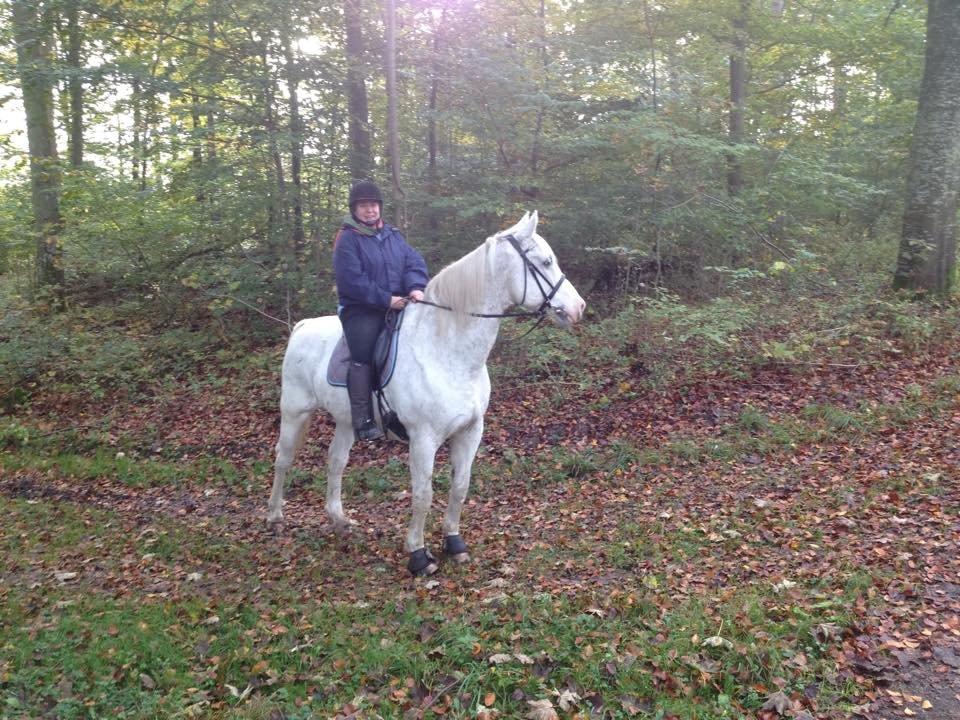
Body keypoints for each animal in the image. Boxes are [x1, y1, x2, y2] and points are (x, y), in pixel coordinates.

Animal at [266, 211, 588, 576]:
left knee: (335, 462)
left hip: (347, 420)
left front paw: (454, 543)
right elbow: (423, 495)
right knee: (283, 458)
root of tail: (302, 326)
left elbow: (460, 487)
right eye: (546, 261)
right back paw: (275, 517)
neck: (446, 351)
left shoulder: (470, 431)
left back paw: (339, 520)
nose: (579, 307)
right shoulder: (423, 439)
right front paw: (418, 555)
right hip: (295, 411)